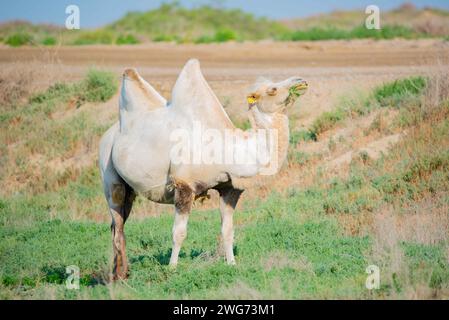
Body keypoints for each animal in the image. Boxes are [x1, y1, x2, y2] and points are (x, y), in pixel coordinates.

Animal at [99, 58, 306, 278]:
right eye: (273, 89)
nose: (300, 80)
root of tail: (108, 135)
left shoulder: (229, 188)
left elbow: (227, 230)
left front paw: (231, 264)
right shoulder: (184, 185)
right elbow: (179, 232)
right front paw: (172, 268)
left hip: (130, 189)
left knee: (117, 225)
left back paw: (121, 271)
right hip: (110, 178)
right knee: (118, 224)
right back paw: (119, 276)